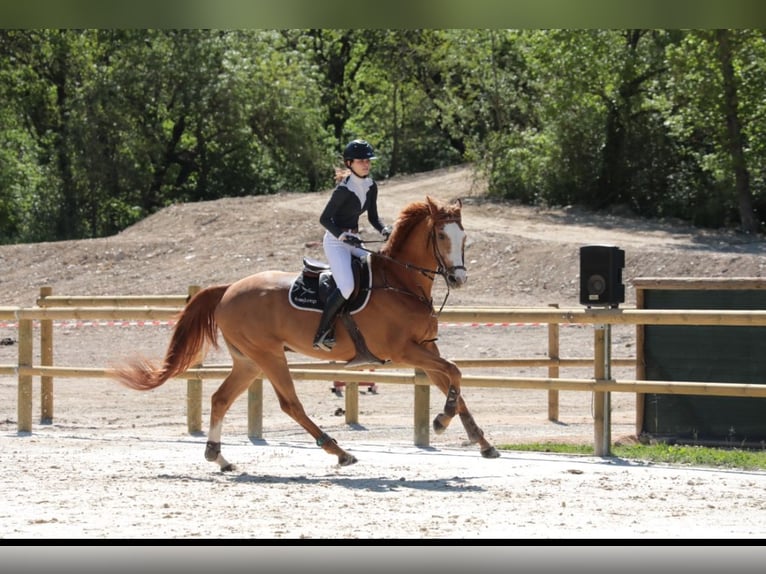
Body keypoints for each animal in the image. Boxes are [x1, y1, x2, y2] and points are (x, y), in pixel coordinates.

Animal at [112, 196, 498, 470]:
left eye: (464, 236)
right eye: (440, 235)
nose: (459, 279)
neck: (402, 282)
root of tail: (227, 289)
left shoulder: (427, 348)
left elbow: (454, 383)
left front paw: (481, 442)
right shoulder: (404, 351)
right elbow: (454, 374)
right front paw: (441, 420)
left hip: (249, 361)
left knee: (221, 398)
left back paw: (219, 457)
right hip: (269, 355)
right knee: (290, 404)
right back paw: (338, 451)